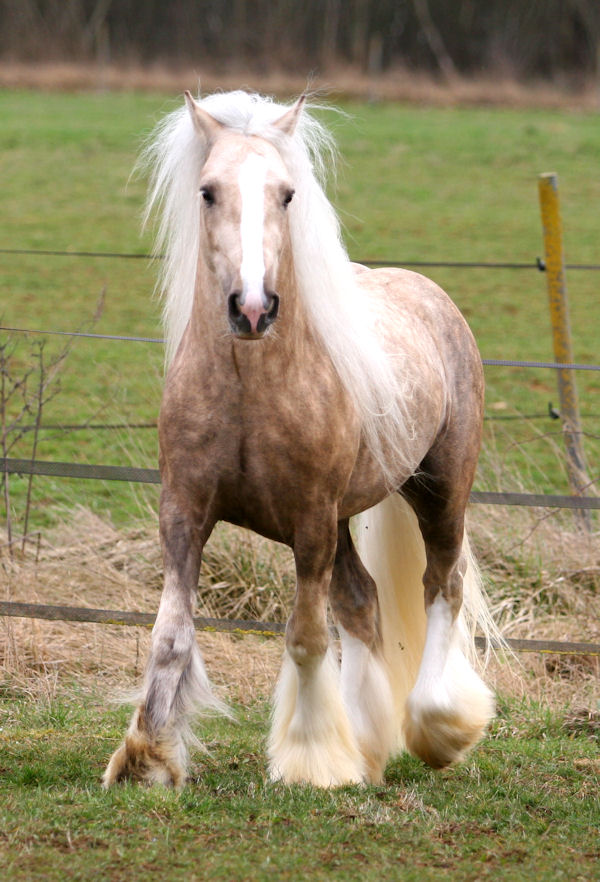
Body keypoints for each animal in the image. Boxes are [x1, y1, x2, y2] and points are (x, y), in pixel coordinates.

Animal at [102, 93, 496, 788]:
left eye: (287, 194)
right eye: (207, 191)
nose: (253, 308)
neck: (249, 389)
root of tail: (430, 293)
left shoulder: (310, 522)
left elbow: (306, 636)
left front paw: (312, 761)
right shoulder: (183, 512)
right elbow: (171, 635)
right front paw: (145, 758)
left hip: (439, 489)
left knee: (440, 585)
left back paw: (438, 728)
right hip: (346, 519)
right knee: (363, 602)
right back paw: (366, 746)